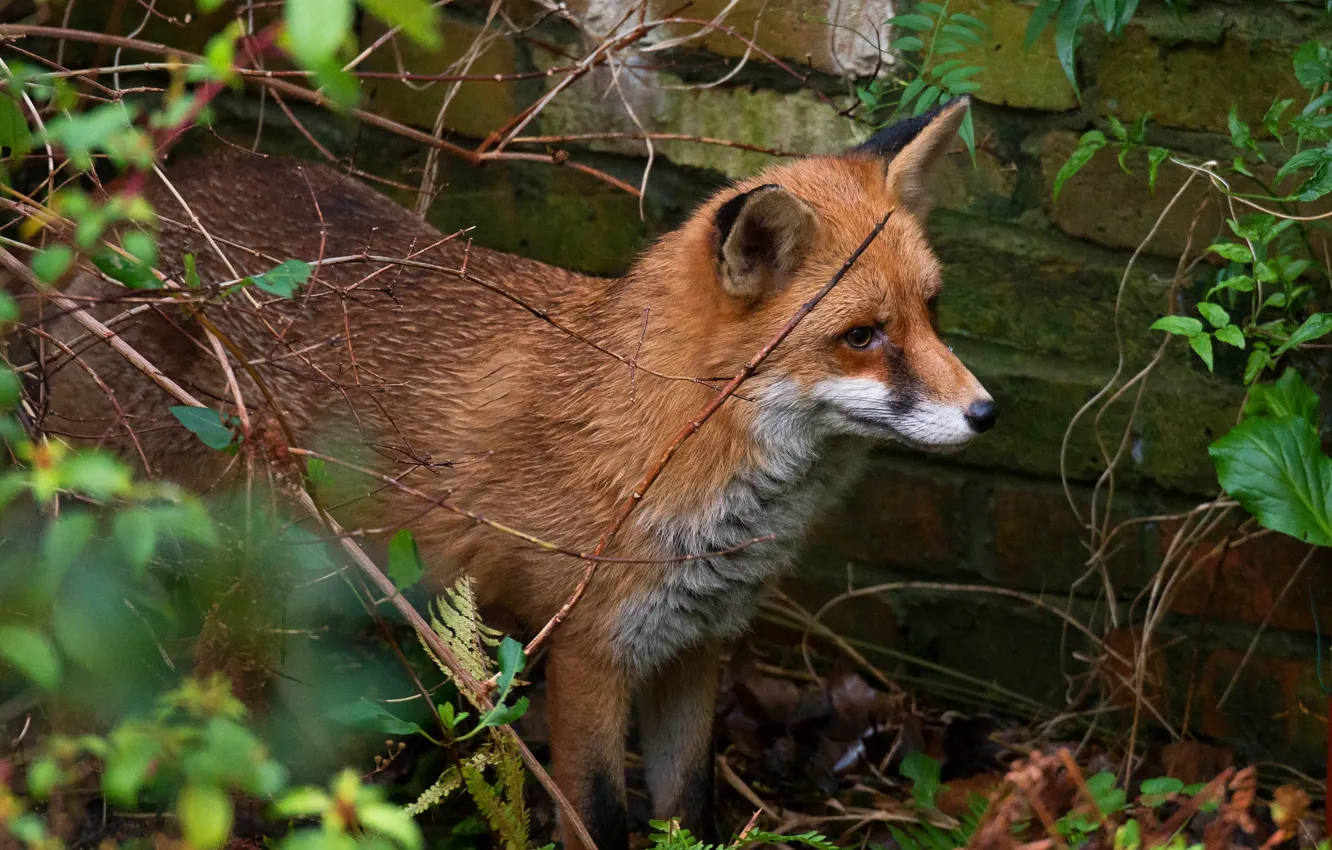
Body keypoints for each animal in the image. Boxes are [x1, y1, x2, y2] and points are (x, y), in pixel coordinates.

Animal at [25, 97, 994, 849]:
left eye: (933, 309)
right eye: (861, 335)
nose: (986, 412)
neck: (673, 449)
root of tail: (109, 202)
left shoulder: (695, 647)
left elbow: (691, 809)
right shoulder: (590, 652)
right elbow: (600, 818)